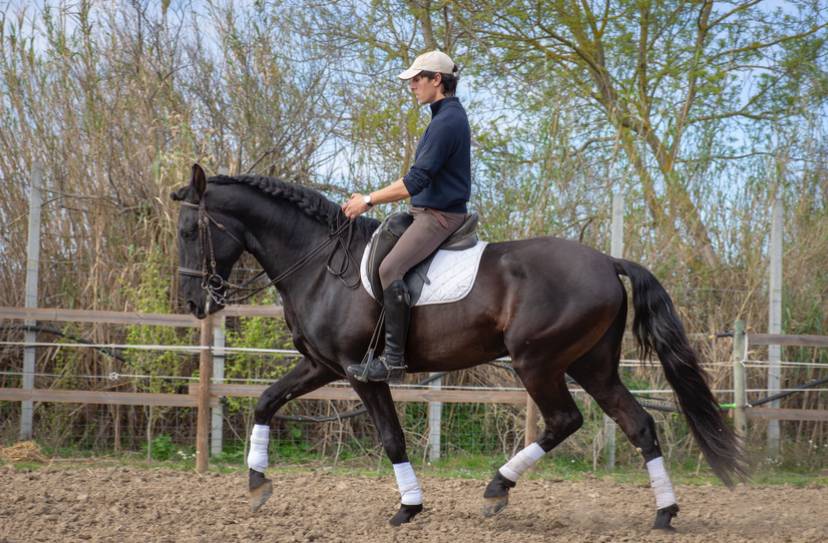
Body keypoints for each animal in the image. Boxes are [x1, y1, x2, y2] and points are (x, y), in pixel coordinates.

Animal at [171, 164, 745, 530]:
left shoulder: (360, 372)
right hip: (592, 364)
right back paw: (664, 513)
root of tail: (607, 260)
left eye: (188, 230)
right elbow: (266, 401)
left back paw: (496, 491)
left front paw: (408, 508)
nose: (194, 302)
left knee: (565, 420)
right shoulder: (322, 365)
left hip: (537, 362)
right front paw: (256, 484)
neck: (320, 264)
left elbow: (392, 438)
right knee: (638, 424)